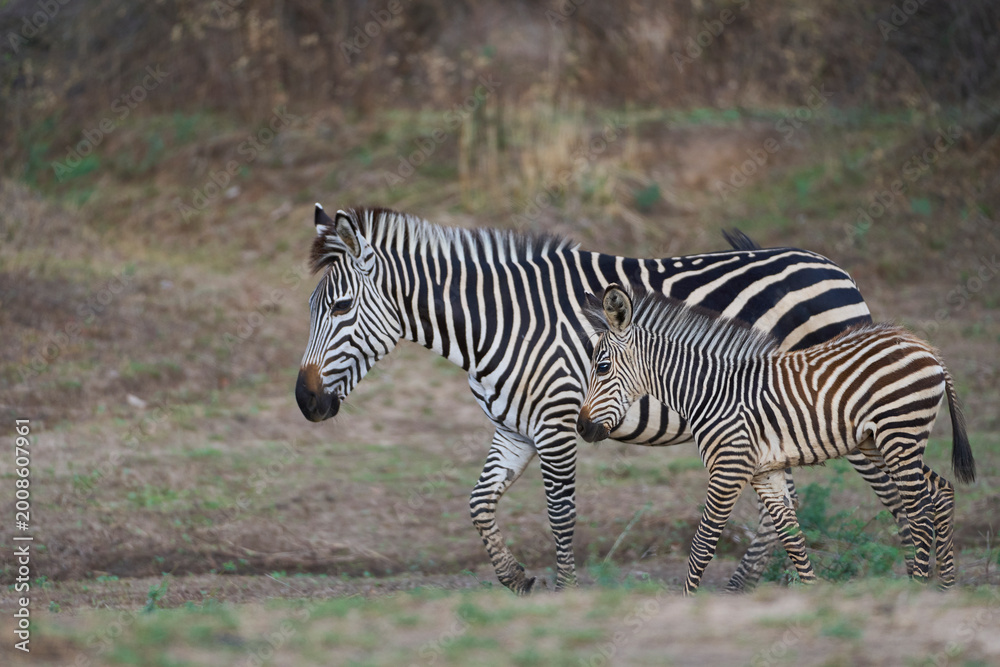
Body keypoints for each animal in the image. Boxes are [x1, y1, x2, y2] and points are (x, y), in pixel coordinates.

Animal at [295, 204, 901, 595]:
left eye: (342, 307)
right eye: (312, 308)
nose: (305, 401)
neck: (501, 323)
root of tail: (834, 268)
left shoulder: (558, 422)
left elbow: (560, 513)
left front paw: (566, 592)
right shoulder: (513, 428)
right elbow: (479, 503)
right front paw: (516, 577)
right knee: (786, 493)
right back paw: (743, 584)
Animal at [577, 284, 976, 594]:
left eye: (602, 367)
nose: (582, 428)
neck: (709, 391)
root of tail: (924, 347)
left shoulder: (729, 469)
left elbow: (703, 544)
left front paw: (686, 604)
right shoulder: (763, 472)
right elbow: (791, 537)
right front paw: (813, 597)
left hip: (899, 436)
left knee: (919, 510)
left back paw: (919, 589)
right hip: (881, 444)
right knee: (941, 492)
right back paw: (946, 590)